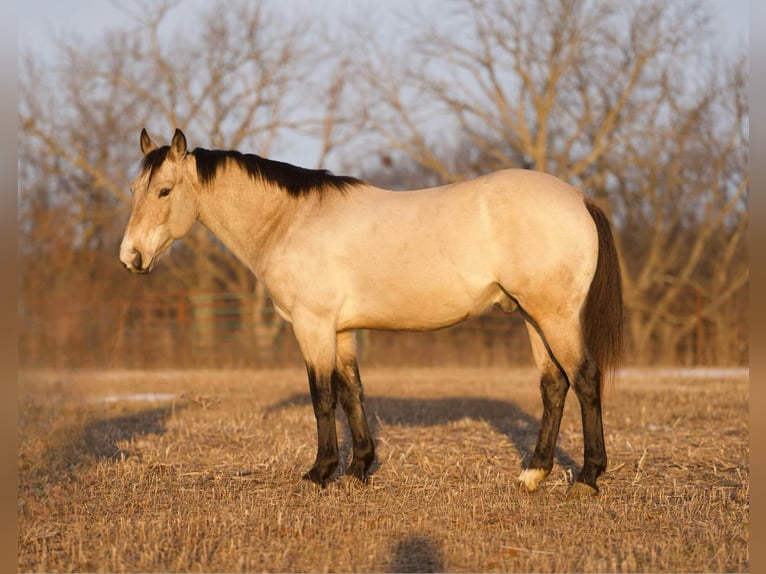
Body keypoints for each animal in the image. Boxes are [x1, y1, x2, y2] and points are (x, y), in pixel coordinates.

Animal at [120, 128, 623, 498]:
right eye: (134, 190)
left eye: (164, 191)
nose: (131, 258)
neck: (291, 221)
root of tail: (579, 198)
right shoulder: (341, 331)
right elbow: (351, 393)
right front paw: (359, 468)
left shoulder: (313, 326)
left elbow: (322, 397)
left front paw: (320, 472)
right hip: (533, 318)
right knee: (554, 385)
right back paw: (534, 474)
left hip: (554, 316)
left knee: (584, 379)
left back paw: (588, 478)